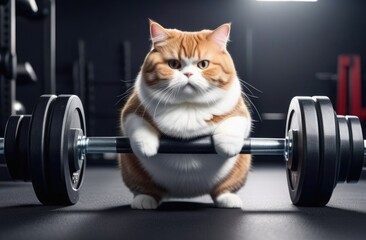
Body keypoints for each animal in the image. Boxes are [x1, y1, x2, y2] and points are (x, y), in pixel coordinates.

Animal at [119, 19, 252, 209]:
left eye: (203, 64)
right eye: (174, 64)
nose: (188, 74)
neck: (187, 106)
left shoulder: (240, 110)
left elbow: (235, 122)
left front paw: (228, 144)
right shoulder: (131, 108)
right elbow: (137, 124)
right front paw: (146, 145)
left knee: (222, 190)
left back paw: (228, 198)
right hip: (132, 170)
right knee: (146, 189)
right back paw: (144, 199)